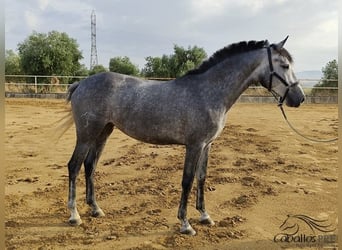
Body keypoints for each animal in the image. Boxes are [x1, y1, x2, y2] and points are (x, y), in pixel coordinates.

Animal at [58, 36, 304, 234]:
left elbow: (202, 177)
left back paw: (95, 209)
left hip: (103, 132)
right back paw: (74, 215)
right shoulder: (194, 145)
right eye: (284, 65)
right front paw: (185, 224)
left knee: (90, 165)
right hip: (87, 134)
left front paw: (205, 216)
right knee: (74, 166)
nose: (299, 98)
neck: (208, 92)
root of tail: (81, 83)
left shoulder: (207, 145)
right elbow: (187, 180)